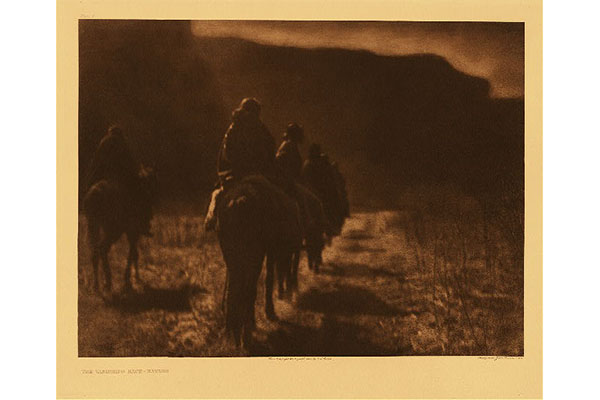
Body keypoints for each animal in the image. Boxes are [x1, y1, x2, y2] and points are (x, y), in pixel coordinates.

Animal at [82, 166, 157, 294]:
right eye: (149, 184)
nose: (150, 215)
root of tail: (94, 195)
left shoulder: (131, 232)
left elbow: (134, 254)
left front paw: (134, 279)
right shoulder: (133, 232)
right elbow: (133, 254)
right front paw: (131, 280)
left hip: (94, 226)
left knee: (95, 251)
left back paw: (97, 286)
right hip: (113, 230)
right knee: (102, 249)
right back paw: (108, 282)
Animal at [216, 175, 302, 346]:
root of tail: (238, 202)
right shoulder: (271, 251)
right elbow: (269, 278)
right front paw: (270, 311)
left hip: (233, 255)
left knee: (234, 289)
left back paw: (232, 333)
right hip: (255, 254)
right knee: (249, 288)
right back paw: (246, 335)